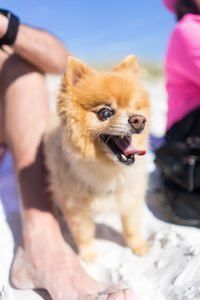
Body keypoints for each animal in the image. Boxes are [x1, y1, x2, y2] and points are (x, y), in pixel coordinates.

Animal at [43, 55, 150, 262]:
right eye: (105, 112)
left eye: (136, 108)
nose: (139, 120)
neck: (107, 170)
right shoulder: (77, 210)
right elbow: (84, 235)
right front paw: (88, 256)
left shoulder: (131, 199)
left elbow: (131, 227)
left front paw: (138, 246)